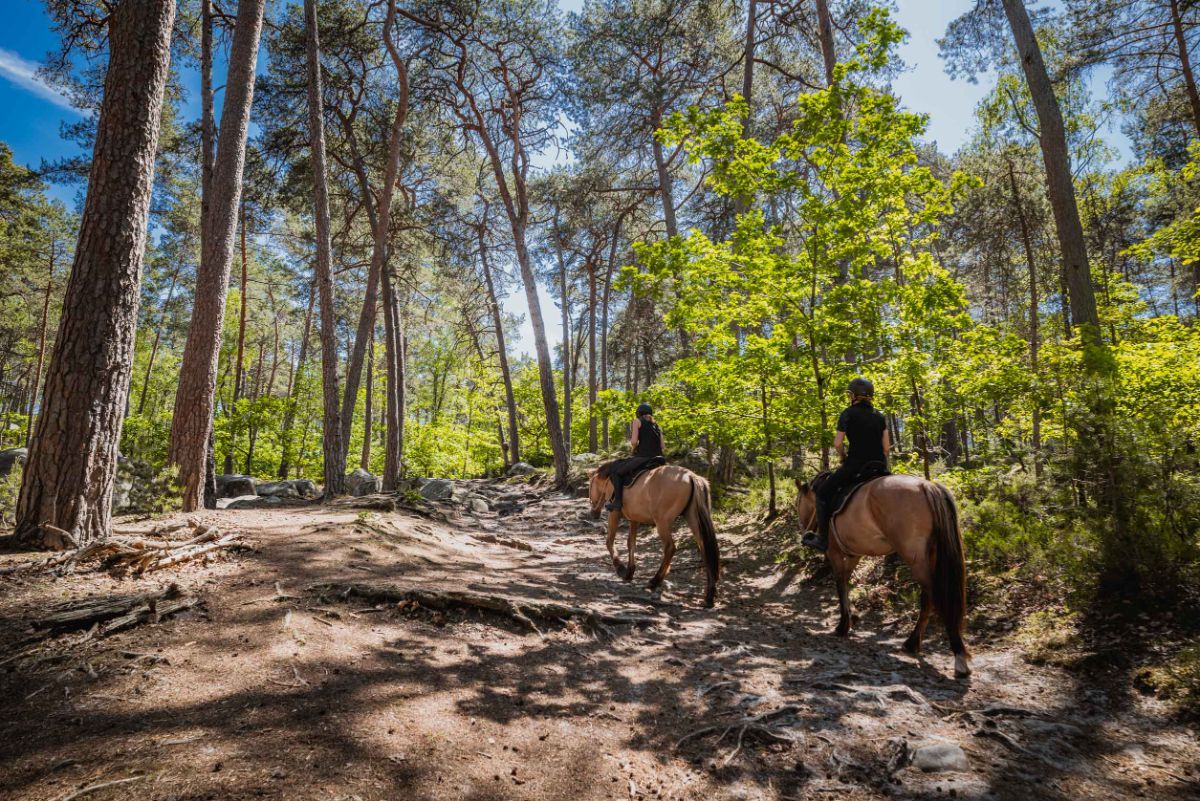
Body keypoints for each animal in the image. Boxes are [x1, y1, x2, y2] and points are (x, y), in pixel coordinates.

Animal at [588, 464, 721, 607]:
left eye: (590, 487)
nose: (593, 513)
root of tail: (690, 476)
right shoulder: (634, 519)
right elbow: (631, 543)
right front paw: (629, 572)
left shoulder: (614, 514)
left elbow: (610, 541)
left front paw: (620, 568)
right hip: (692, 518)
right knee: (705, 550)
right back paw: (709, 596)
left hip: (662, 522)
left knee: (670, 548)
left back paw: (654, 581)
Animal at [794, 473, 972, 678]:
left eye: (798, 503)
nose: (803, 530)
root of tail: (926, 486)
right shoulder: (855, 554)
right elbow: (846, 583)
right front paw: (852, 615)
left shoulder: (835, 553)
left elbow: (840, 584)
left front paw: (843, 624)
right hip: (932, 555)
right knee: (929, 598)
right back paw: (913, 643)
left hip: (916, 558)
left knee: (933, 596)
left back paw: (956, 656)